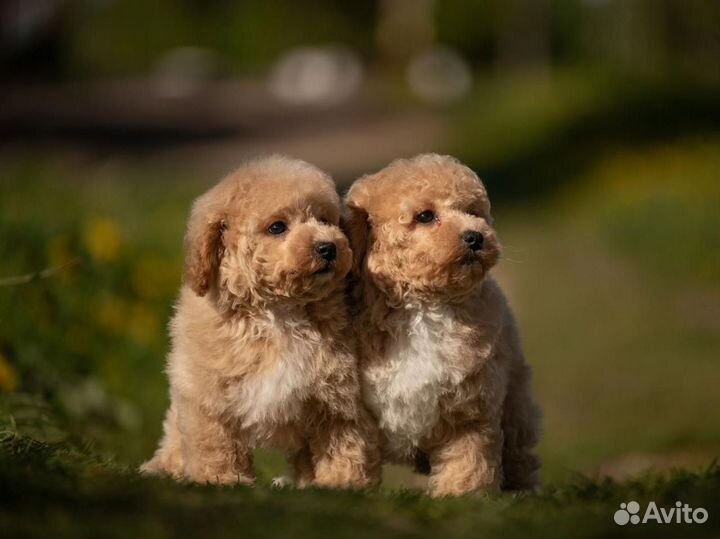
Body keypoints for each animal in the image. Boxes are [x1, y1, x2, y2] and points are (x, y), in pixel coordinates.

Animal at [143, 155, 386, 490]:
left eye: (325, 220)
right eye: (277, 227)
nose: (328, 247)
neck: (277, 311)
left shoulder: (337, 393)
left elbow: (343, 440)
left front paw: (341, 483)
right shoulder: (207, 391)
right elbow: (215, 440)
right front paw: (222, 478)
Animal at [344, 152, 540, 498]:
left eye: (472, 212)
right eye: (425, 216)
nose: (475, 237)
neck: (424, 308)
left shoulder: (471, 405)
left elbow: (468, 460)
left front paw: (462, 497)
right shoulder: (357, 409)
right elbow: (354, 451)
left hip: (515, 400)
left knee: (519, 451)